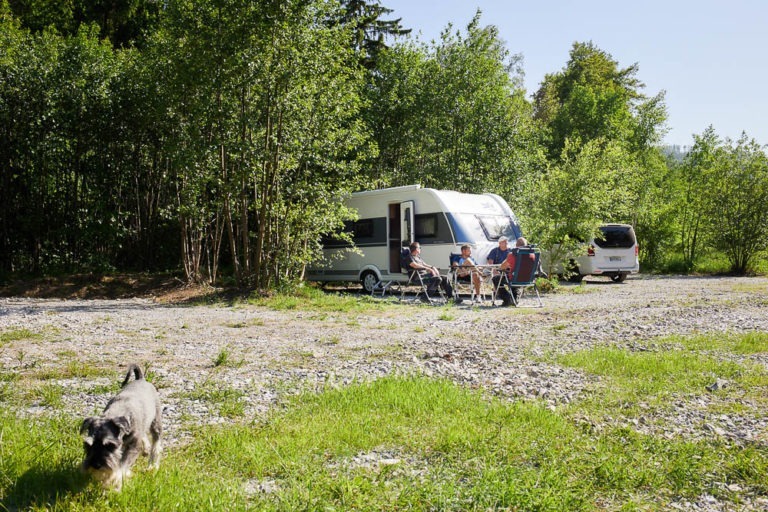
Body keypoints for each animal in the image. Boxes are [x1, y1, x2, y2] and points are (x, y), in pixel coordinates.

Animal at [80, 364, 163, 492]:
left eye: (110, 445)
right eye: (88, 445)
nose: (96, 465)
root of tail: (141, 379)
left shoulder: (133, 447)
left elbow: (121, 467)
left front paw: (114, 480)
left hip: (156, 422)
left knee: (156, 443)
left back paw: (152, 465)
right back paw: (146, 448)